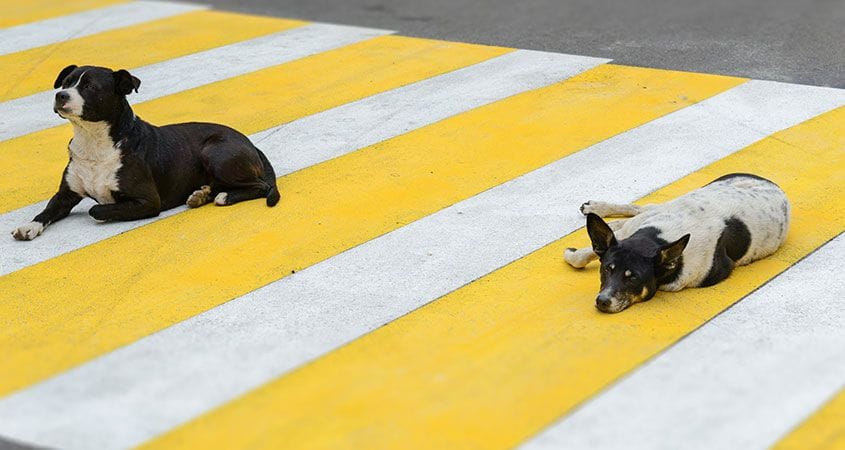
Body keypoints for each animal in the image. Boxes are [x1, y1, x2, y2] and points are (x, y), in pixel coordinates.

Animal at [10, 65, 280, 241]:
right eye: (66, 82)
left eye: (90, 86)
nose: (60, 95)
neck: (93, 141)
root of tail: (249, 141)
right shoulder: (65, 195)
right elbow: (46, 211)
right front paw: (28, 227)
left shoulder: (148, 201)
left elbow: (96, 210)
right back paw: (201, 194)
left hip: (215, 153)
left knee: (261, 185)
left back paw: (223, 196)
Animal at [564, 172, 788, 312]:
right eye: (606, 269)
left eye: (633, 277)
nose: (603, 301)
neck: (657, 237)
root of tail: (774, 186)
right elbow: (585, 254)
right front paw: (575, 254)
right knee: (640, 208)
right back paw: (598, 208)